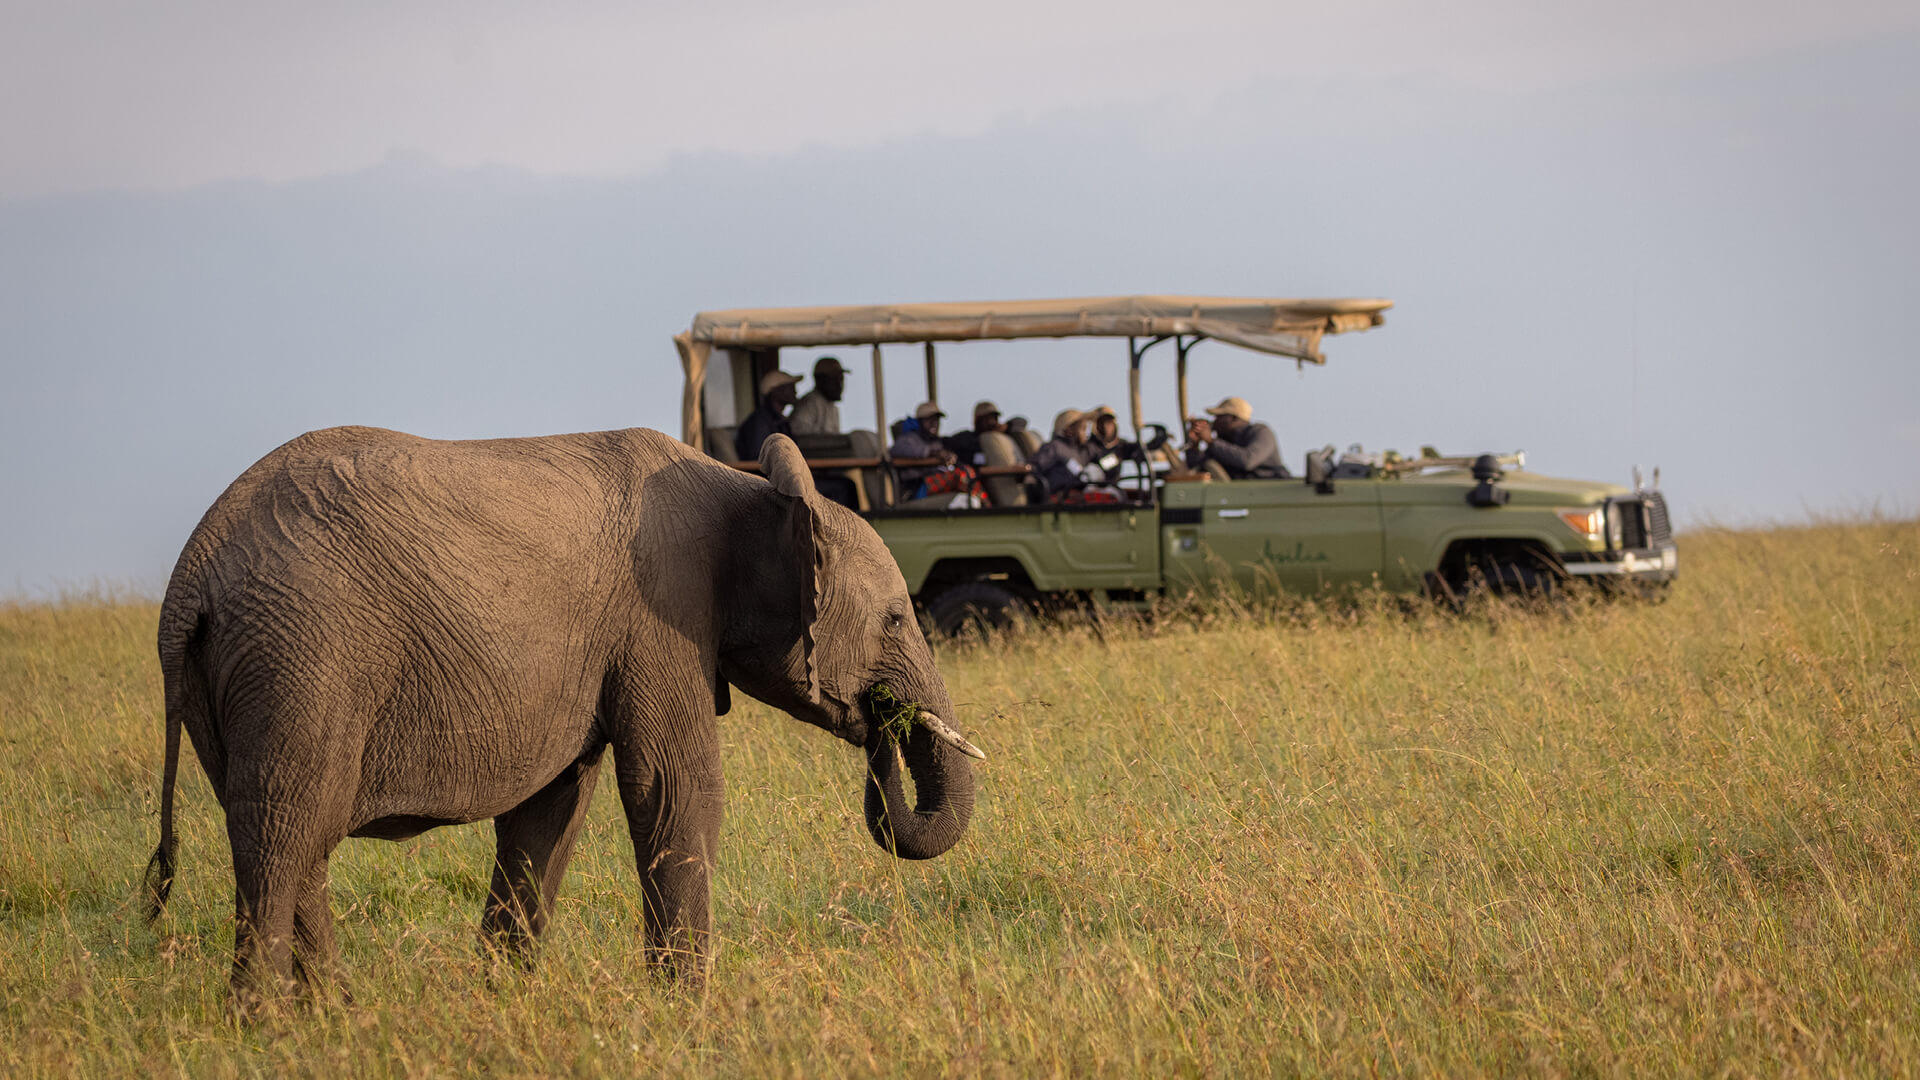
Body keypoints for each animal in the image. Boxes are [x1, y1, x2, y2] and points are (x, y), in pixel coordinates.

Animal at [141, 428, 983, 1006]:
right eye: (898, 619)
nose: (884, 722)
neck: (753, 490)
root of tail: (192, 574)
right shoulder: (660, 616)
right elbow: (676, 788)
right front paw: (686, 1011)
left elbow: (552, 810)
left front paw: (501, 999)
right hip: (299, 661)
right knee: (283, 836)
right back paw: (266, 1024)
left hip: (245, 678)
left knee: (299, 842)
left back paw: (339, 1015)